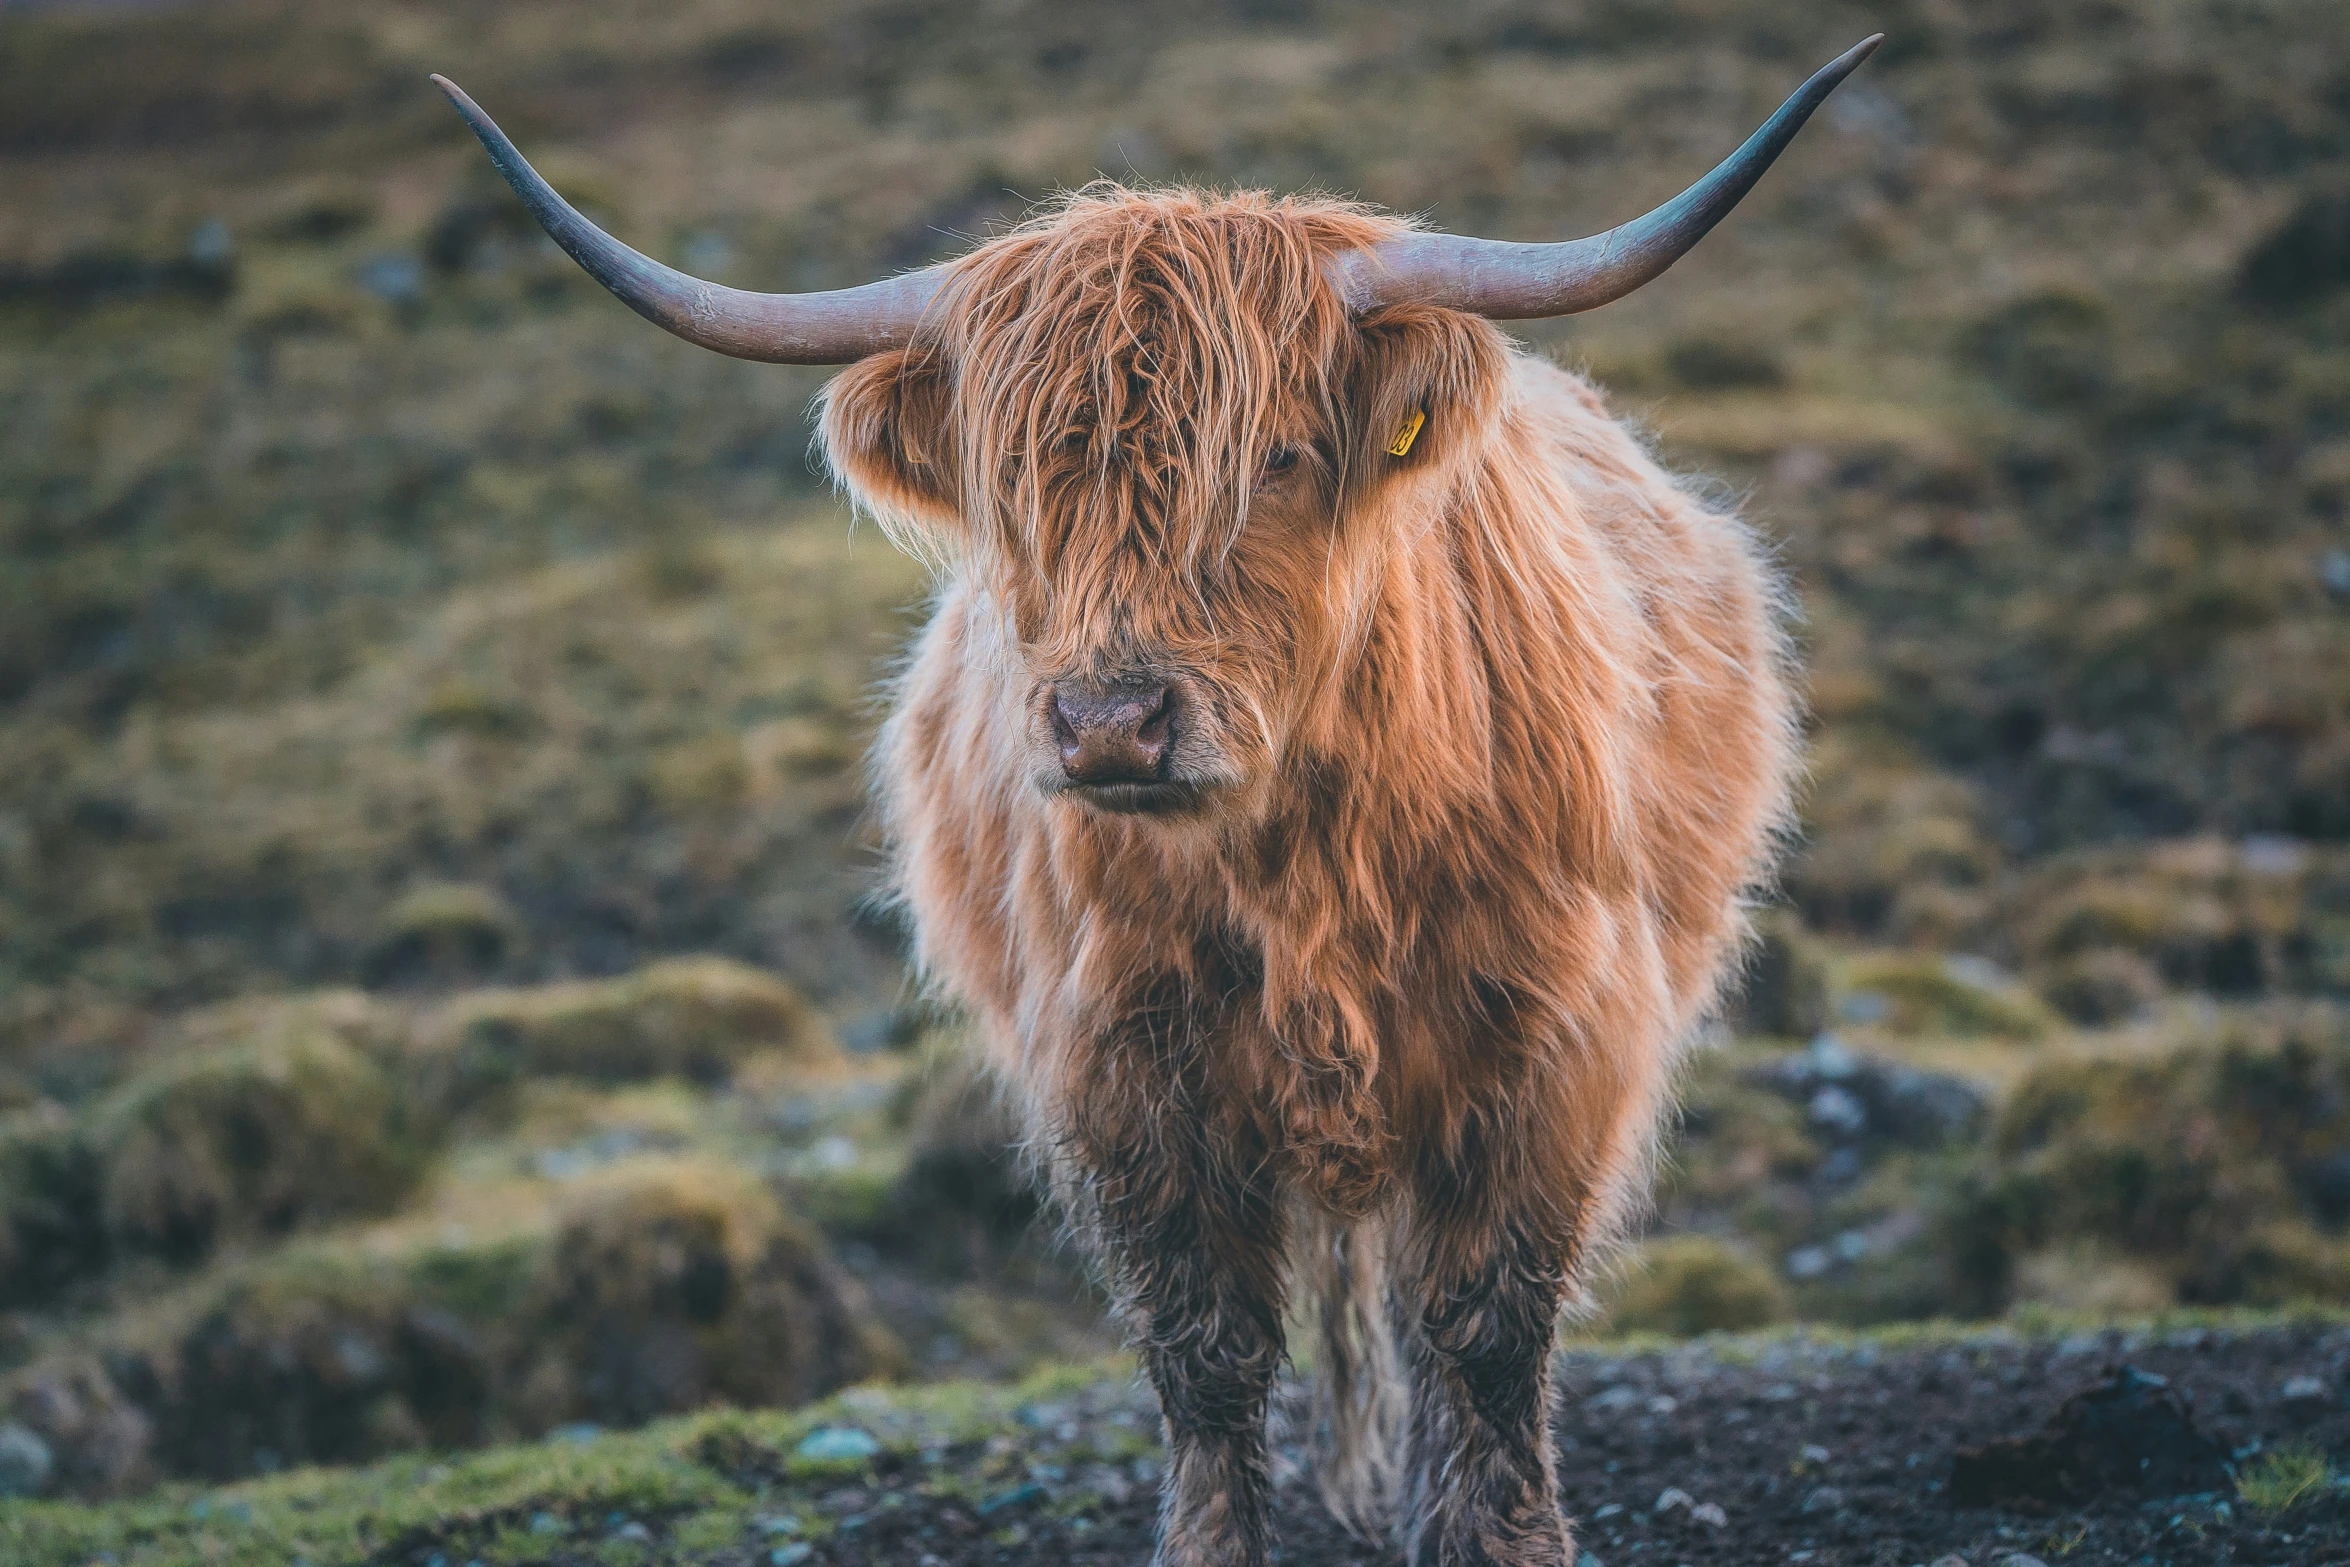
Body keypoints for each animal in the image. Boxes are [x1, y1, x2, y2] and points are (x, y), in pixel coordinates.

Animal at [437, 39, 1870, 1567]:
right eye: (1016, 489)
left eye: (1281, 457)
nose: (1110, 723)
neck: (1304, 867)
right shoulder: (1119, 1068)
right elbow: (1207, 1351)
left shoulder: (1548, 1042)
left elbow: (1485, 1330)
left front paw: (1497, 1539)